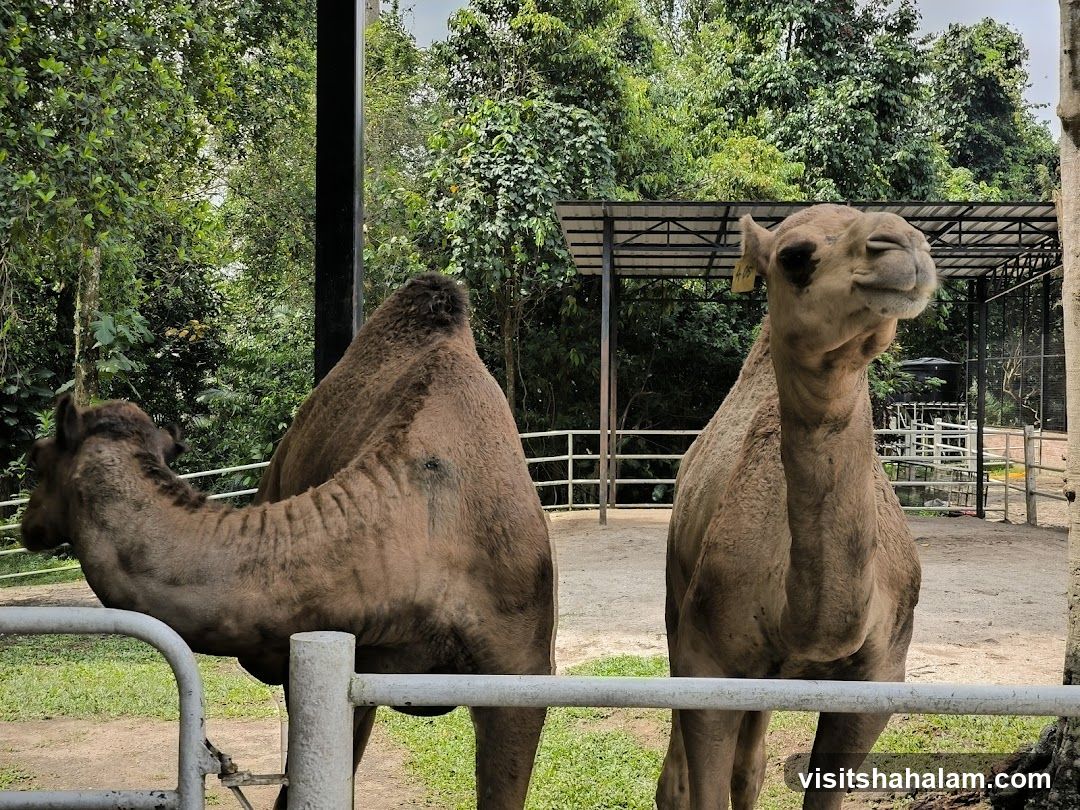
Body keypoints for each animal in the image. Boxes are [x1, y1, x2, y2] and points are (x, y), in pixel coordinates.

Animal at [656, 205, 936, 810]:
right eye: (794, 256)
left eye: (925, 238)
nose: (905, 247)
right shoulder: (705, 663)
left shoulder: (879, 680)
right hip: (675, 596)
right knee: (678, 774)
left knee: (750, 766)